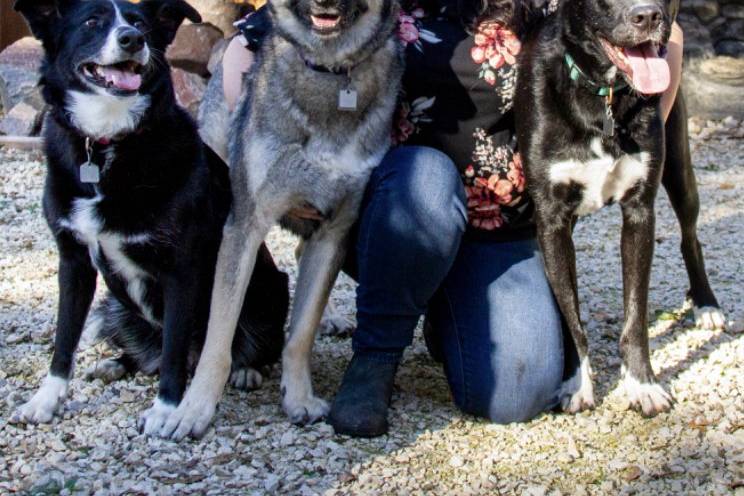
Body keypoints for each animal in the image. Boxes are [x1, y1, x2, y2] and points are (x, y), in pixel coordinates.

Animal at [12, 0, 290, 432]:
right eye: (91, 21)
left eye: (140, 23)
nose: (132, 39)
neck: (107, 144)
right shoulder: (73, 262)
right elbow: (63, 341)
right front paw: (45, 401)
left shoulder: (180, 269)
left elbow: (175, 348)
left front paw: (167, 409)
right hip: (114, 305)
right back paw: (115, 364)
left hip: (271, 290)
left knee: (223, 348)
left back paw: (244, 370)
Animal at [151, 0, 404, 440]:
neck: (330, 73)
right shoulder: (245, 226)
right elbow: (218, 337)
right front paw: (194, 408)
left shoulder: (334, 231)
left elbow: (300, 333)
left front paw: (298, 397)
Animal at [516, 0, 724, 416]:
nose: (647, 16)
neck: (604, 96)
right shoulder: (552, 222)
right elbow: (568, 313)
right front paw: (576, 384)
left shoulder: (640, 212)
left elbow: (636, 314)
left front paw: (643, 385)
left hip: (680, 171)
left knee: (690, 238)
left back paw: (706, 303)